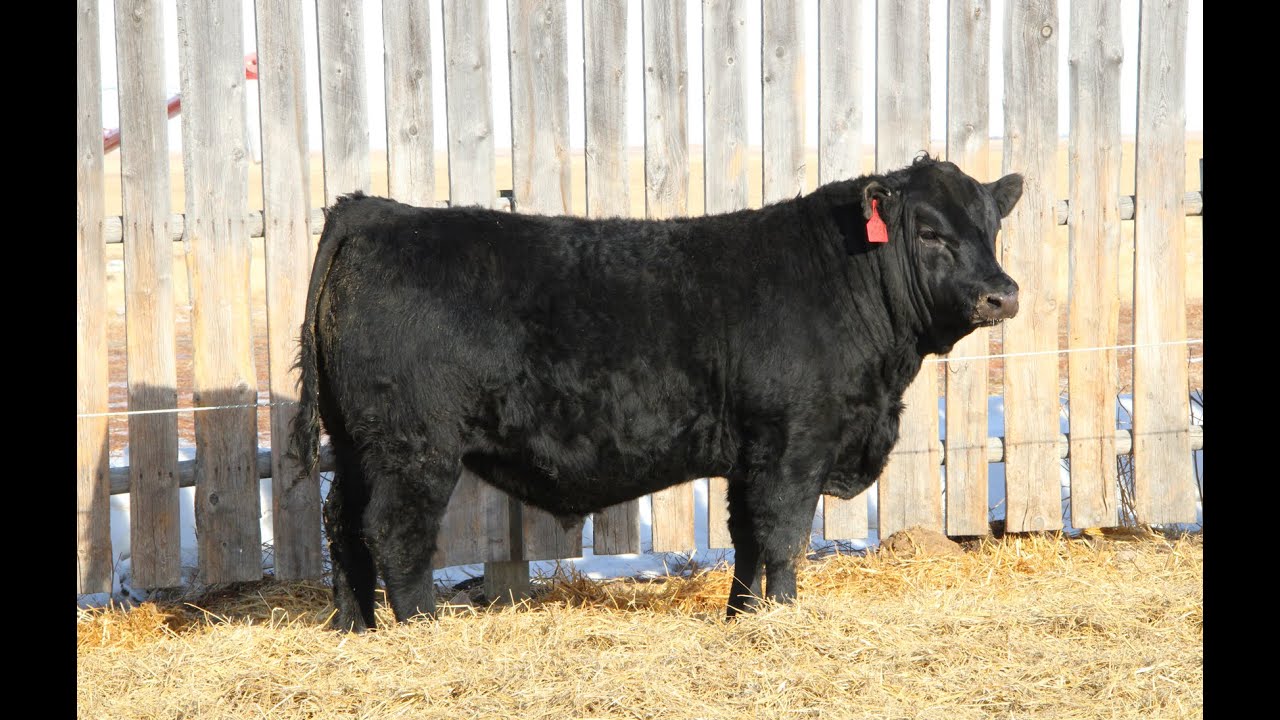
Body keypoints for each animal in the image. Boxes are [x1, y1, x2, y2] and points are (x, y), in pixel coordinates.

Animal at [290, 154, 1023, 631]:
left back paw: (356, 628)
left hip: (354, 442)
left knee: (341, 523)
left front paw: (741, 616)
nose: (1003, 294)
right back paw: (422, 628)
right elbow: (783, 537)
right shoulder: (794, 445)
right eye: (929, 231)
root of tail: (376, 210)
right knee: (395, 531)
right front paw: (783, 618)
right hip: (414, 445)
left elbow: (747, 538)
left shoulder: (751, 454)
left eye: (991, 228)